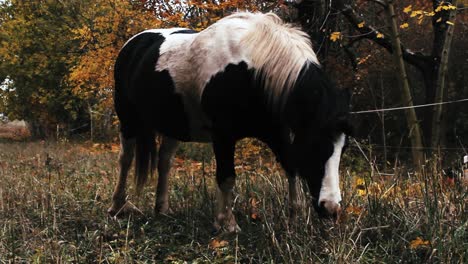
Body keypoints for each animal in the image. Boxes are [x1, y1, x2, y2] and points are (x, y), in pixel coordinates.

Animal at [109, 11, 352, 232]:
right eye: (315, 147)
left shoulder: (277, 132)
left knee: (164, 162)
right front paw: (228, 225)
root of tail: (133, 44)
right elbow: (226, 177)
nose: (331, 209)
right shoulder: (223, 136)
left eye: (342, 149)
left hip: (174, 125)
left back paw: (162, 209)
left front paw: (294, 219)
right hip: (128, 119)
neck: (251, 69)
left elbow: (290, 166)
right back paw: (117, 207)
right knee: (125, 159)